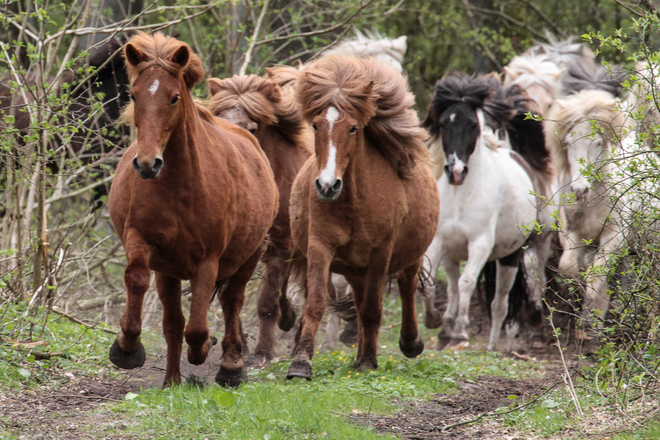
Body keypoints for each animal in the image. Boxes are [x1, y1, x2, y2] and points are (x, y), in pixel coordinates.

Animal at [107, 32, 276, 386]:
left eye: (173, 98)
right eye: (134, 95)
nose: (147, 164)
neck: (179, 189)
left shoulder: (207, 260)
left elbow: (198, 328)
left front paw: (204, 350)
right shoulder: (142, 241)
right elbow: (137, 280)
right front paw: (126, 347)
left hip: (249, 255)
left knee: (231, 301)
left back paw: (231, 366)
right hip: (169, 270)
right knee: (174, 322)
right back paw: (172, 380)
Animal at [208, 74, 314, 366]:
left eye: (252, 129)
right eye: (217, 117)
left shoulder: (281, 244)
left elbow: (267, 301)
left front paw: (263, 351)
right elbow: (229, 296)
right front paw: (240, 345)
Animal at [284, 54, 436, 378]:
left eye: (353, 128)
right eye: (315, 125)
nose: (327, 185)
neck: (354, 202)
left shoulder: (381, 252)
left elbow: (373, 308)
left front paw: (368, 360)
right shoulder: (320, 245)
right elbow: (316, 302)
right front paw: (301, 362)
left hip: (409, 255)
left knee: (406, 286)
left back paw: (409, 342)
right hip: (355, 269)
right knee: (359, 297)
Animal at [422, 75, 552, 350]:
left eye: (473, 125)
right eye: (443, 123)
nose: (455, 171)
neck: (461, 195)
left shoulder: (480, 243)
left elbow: (467, 282)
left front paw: (460, 332)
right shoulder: (438, 241)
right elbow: (429, 282)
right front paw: (434, 320)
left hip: (513, 254)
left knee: (503, 300)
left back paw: (498, 344)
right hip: (458, 253)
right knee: (458, 289)